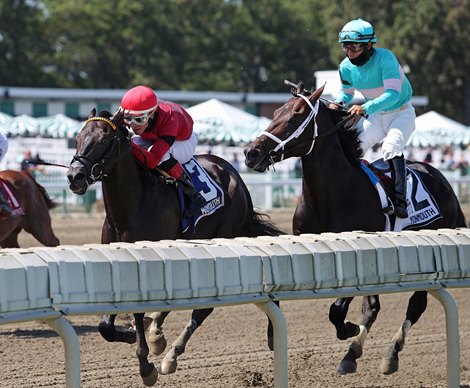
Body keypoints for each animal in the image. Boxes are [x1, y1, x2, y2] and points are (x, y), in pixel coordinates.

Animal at [65, 108, 282, 384]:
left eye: (104, 140)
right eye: (79, 137)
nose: (74, 176)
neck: (133, 204)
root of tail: (235, 175)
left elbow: (140, 309)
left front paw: (145, 366)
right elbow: (106, 324)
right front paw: (131, 333)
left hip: (223, 236)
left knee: (203, 309)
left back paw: (171, 355)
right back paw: (156, 331)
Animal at [244, 82, 468, 376]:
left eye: (296, 115)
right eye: (275, 113)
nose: (251, 153)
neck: (330, 195)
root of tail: (440, 178)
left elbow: (337, 310)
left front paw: (347, 329)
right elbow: (354, 307)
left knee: (416, 306)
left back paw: (390, 354)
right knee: (373, 307)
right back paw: (351, 354)